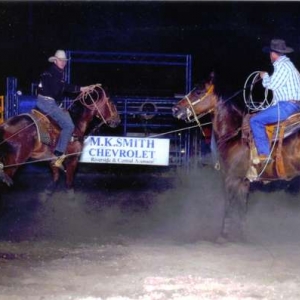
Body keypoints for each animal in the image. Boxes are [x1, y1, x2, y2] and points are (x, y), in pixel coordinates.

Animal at [172, 80, 300, 241]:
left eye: (199, 92)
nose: (175, 109)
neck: (234, 135)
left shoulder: (231, 178)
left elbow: (229, 206)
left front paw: (222, 236)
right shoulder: (243, 181)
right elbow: (241, 208)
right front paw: (243, 236)